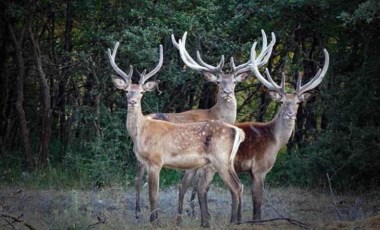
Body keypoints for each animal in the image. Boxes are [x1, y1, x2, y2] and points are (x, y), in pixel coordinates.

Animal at [107, 41, 245, 226]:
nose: (133, 101)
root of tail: (238, 130)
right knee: (238, 186)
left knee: (236, 187)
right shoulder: (146, 161)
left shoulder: (156, 160)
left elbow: (153, 195)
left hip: (220, 159)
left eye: (142, 92)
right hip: (225, 161)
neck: (141, 132)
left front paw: (155, 221)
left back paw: (233, 222)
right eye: (126, 91)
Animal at [134, 29, 276, 220]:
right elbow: (194, 185)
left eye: (234, 82)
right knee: (139, 179)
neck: (214, 113)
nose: (227, 92)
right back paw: (138, 212)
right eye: (218, 82)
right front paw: (193, 213)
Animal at [178, 47, 330, 223]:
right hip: (212, 165)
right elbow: (257, 200)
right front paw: (256, 221)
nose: (290, 115)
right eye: (282, 102)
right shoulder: (260, 168)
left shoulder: (251, 171)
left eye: (298, 102)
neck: (275, 140)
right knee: (201, 187)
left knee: (186, 185)